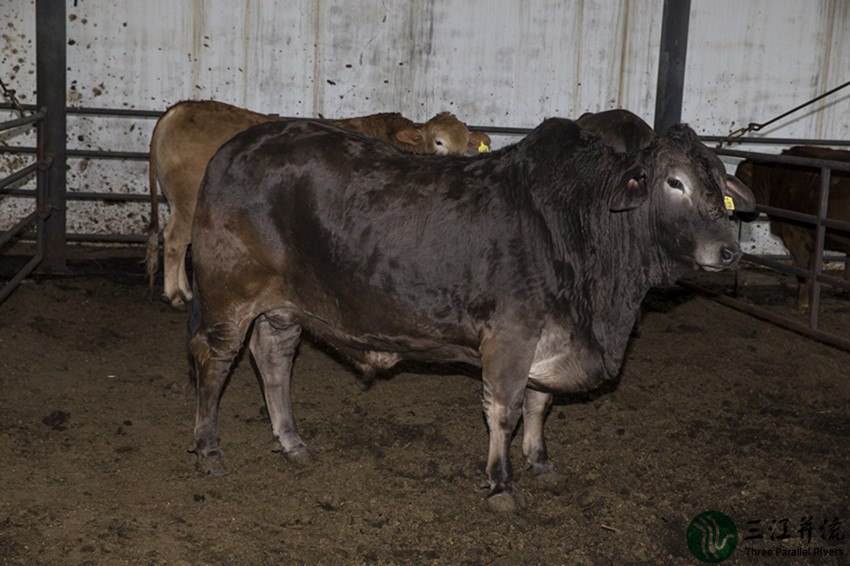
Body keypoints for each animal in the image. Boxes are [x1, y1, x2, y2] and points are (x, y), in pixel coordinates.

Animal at [146, 100, 490, 308]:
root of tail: (181, 108)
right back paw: (175, 294)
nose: (459, 161)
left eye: (466, 142)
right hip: (188, 201)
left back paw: (185, 289)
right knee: (175, 239)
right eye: (438, 141)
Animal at [189, 117, 752, 512]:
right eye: (674, 182)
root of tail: (230, 150)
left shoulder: (552, 337)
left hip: (283, 306)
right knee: (213, 360)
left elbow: (540, 403)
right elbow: (505, 409)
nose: (728, 251)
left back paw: (291, 441)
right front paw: (500, 484)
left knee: (274, 359)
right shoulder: (510, 336)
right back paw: (209, 449)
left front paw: (540, 461)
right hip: (228, 294)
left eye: (720, 184)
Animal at [728, 146, 848, 312]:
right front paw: (800, 298)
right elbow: (808, 268)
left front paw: (801, 303)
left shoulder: (794, 234)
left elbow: (802, 270)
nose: (735, 214)